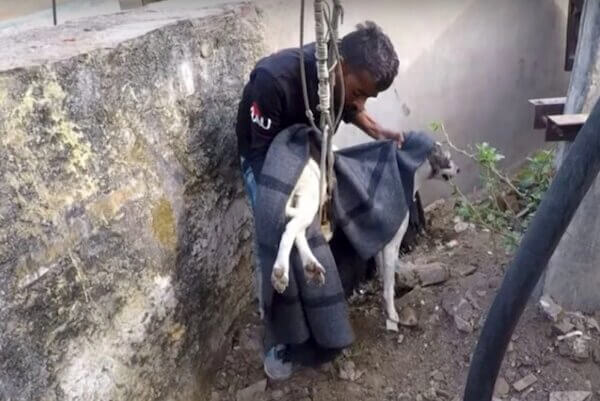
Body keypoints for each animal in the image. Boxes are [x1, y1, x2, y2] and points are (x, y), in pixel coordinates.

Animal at [270, 142, 458, 330]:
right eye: (448, 157)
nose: (459, 169)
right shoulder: (391, 243)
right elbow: (389, 281)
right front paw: (392, 313)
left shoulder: (379, 241)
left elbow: (384, 272)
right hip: (311, 201)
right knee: (290, 230)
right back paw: (280, 272)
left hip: (308, 206)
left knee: (298, 232)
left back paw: (311, 266)